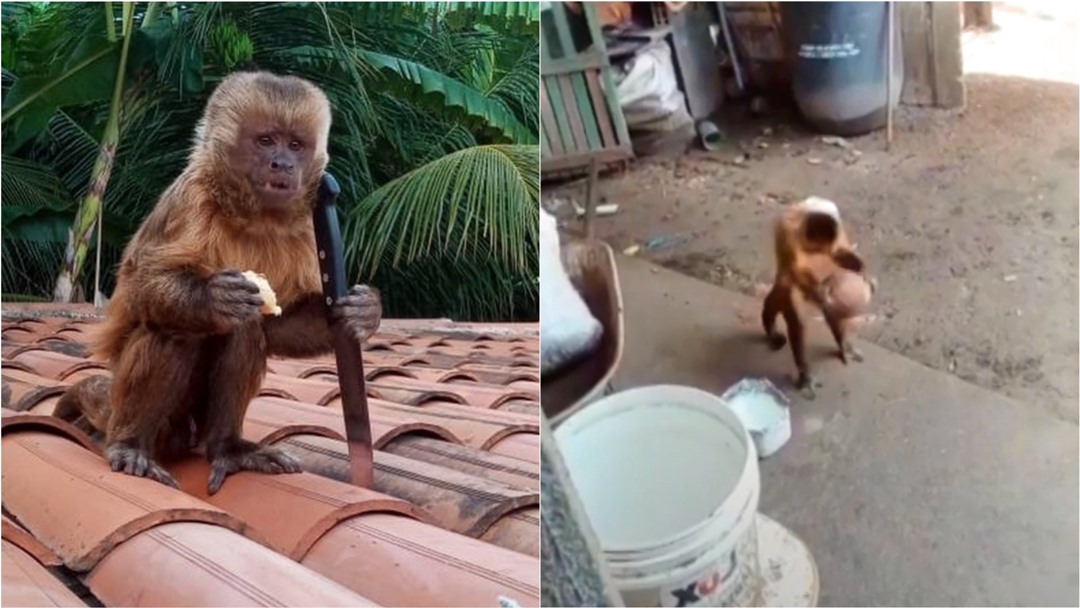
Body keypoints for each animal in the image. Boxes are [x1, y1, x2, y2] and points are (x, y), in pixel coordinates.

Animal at [53, 71, 382, 495]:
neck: (251, 212)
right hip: (155, 423)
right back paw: (131, 445)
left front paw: (363, 312)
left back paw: (227, 447)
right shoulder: (190, 201)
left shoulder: (307, 226)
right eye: (265, 141)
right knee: (174, 328)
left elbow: (278, 324)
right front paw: (212, 299)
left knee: (246, 329)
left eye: (295, 144)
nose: (282, 163)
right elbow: (141, 288)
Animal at [761, 196, 874, 397]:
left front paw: (856, 264)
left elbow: (842, 254)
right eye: (815, 243)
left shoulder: (833, 224)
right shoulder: (790, 233)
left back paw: (842, 344)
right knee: (795, 313)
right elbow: (797, 271)